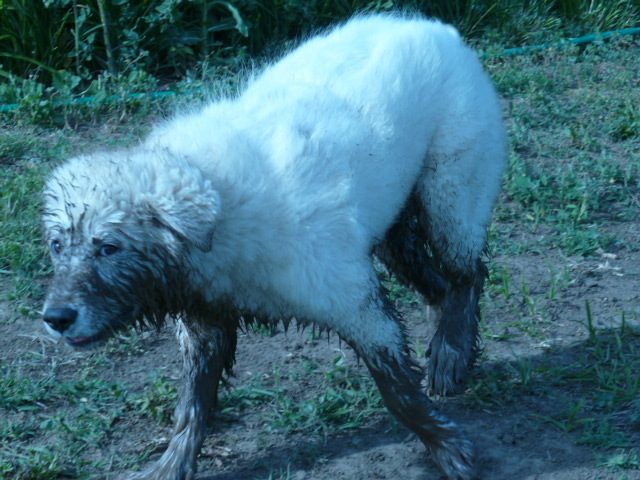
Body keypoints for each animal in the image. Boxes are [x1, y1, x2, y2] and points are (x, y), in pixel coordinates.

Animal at [42, 13, 506, 480]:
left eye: (109, 247)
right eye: (57, 245)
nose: (55, 319)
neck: (223, 212)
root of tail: (435, 28)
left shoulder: (356, 306)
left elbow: (400, 394)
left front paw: (447, 448)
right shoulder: (206, 322)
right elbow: (192, 407)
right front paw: (171, 465)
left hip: (450, 197)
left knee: (468, 275)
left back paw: (450, 353)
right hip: (395, 233)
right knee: (440, 286)